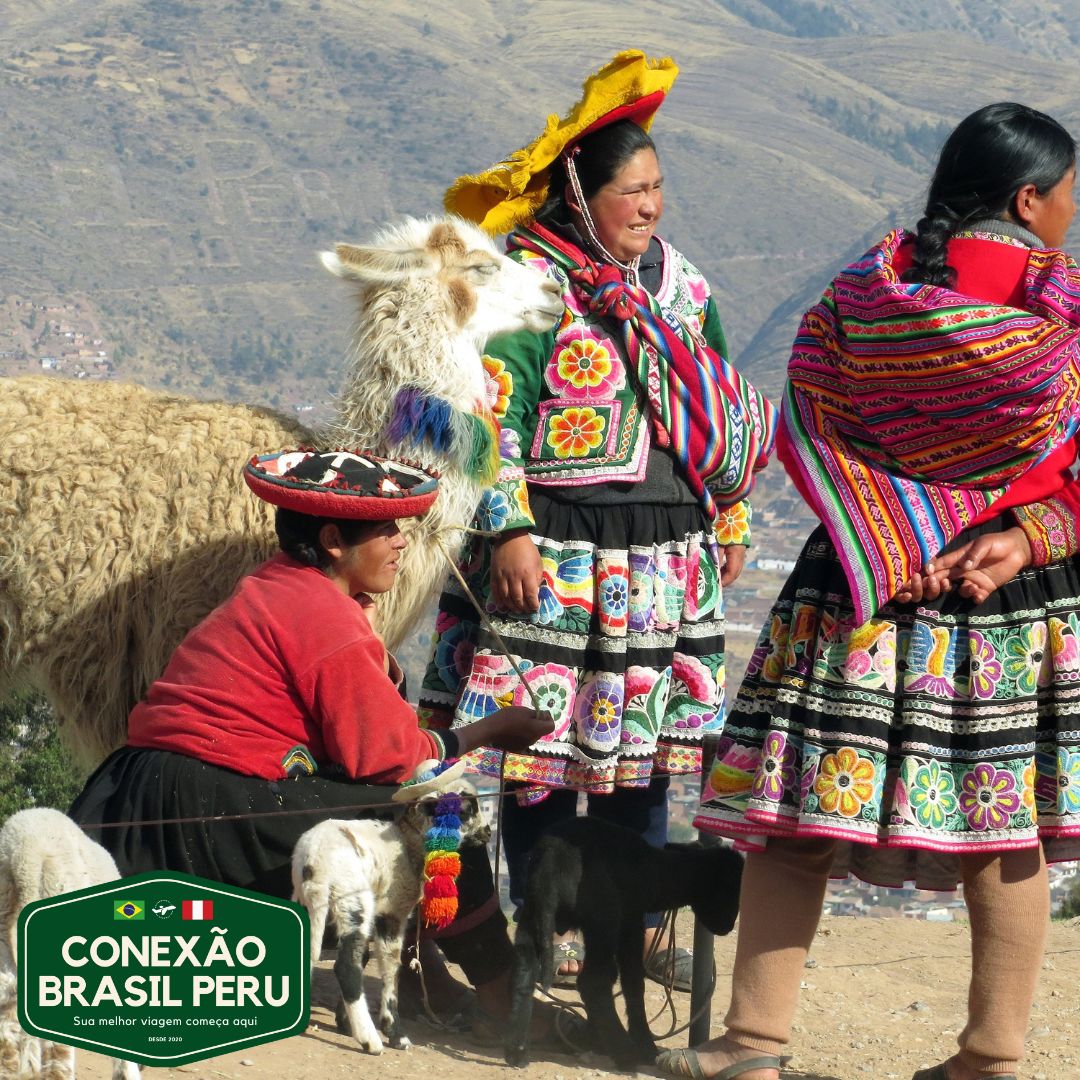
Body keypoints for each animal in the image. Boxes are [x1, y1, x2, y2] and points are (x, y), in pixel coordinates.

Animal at [289, 781, 488, 1058]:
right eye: (468, 809)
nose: (488, 832)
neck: (409, 842)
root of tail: (314, 860)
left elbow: (365, 958)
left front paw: (344, 1021)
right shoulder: (393, 912)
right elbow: (392, 968)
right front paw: (394, 1032)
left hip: (308, 902)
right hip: (354, 900)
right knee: (346, 968)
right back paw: (371, 1040)